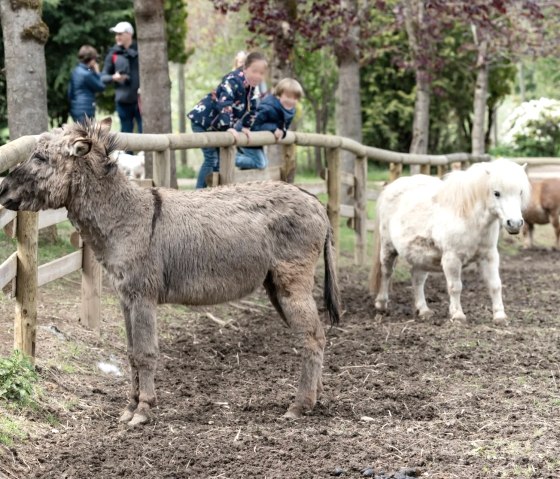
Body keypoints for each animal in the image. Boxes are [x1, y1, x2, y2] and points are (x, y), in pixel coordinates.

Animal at [370, 159, 532, 324]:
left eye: (520, 192)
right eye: (497, 193)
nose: (515, 223)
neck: (468, 218)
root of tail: (390, 188)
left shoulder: (489, 256)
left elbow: (495, 285)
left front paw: (500, 316)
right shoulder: (452, 259)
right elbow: (455, 287)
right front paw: (457, 315)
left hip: (421, 256)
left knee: (417, 278)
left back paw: (424, 310)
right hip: (388, 248)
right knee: (386, 272)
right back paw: (381, 304)